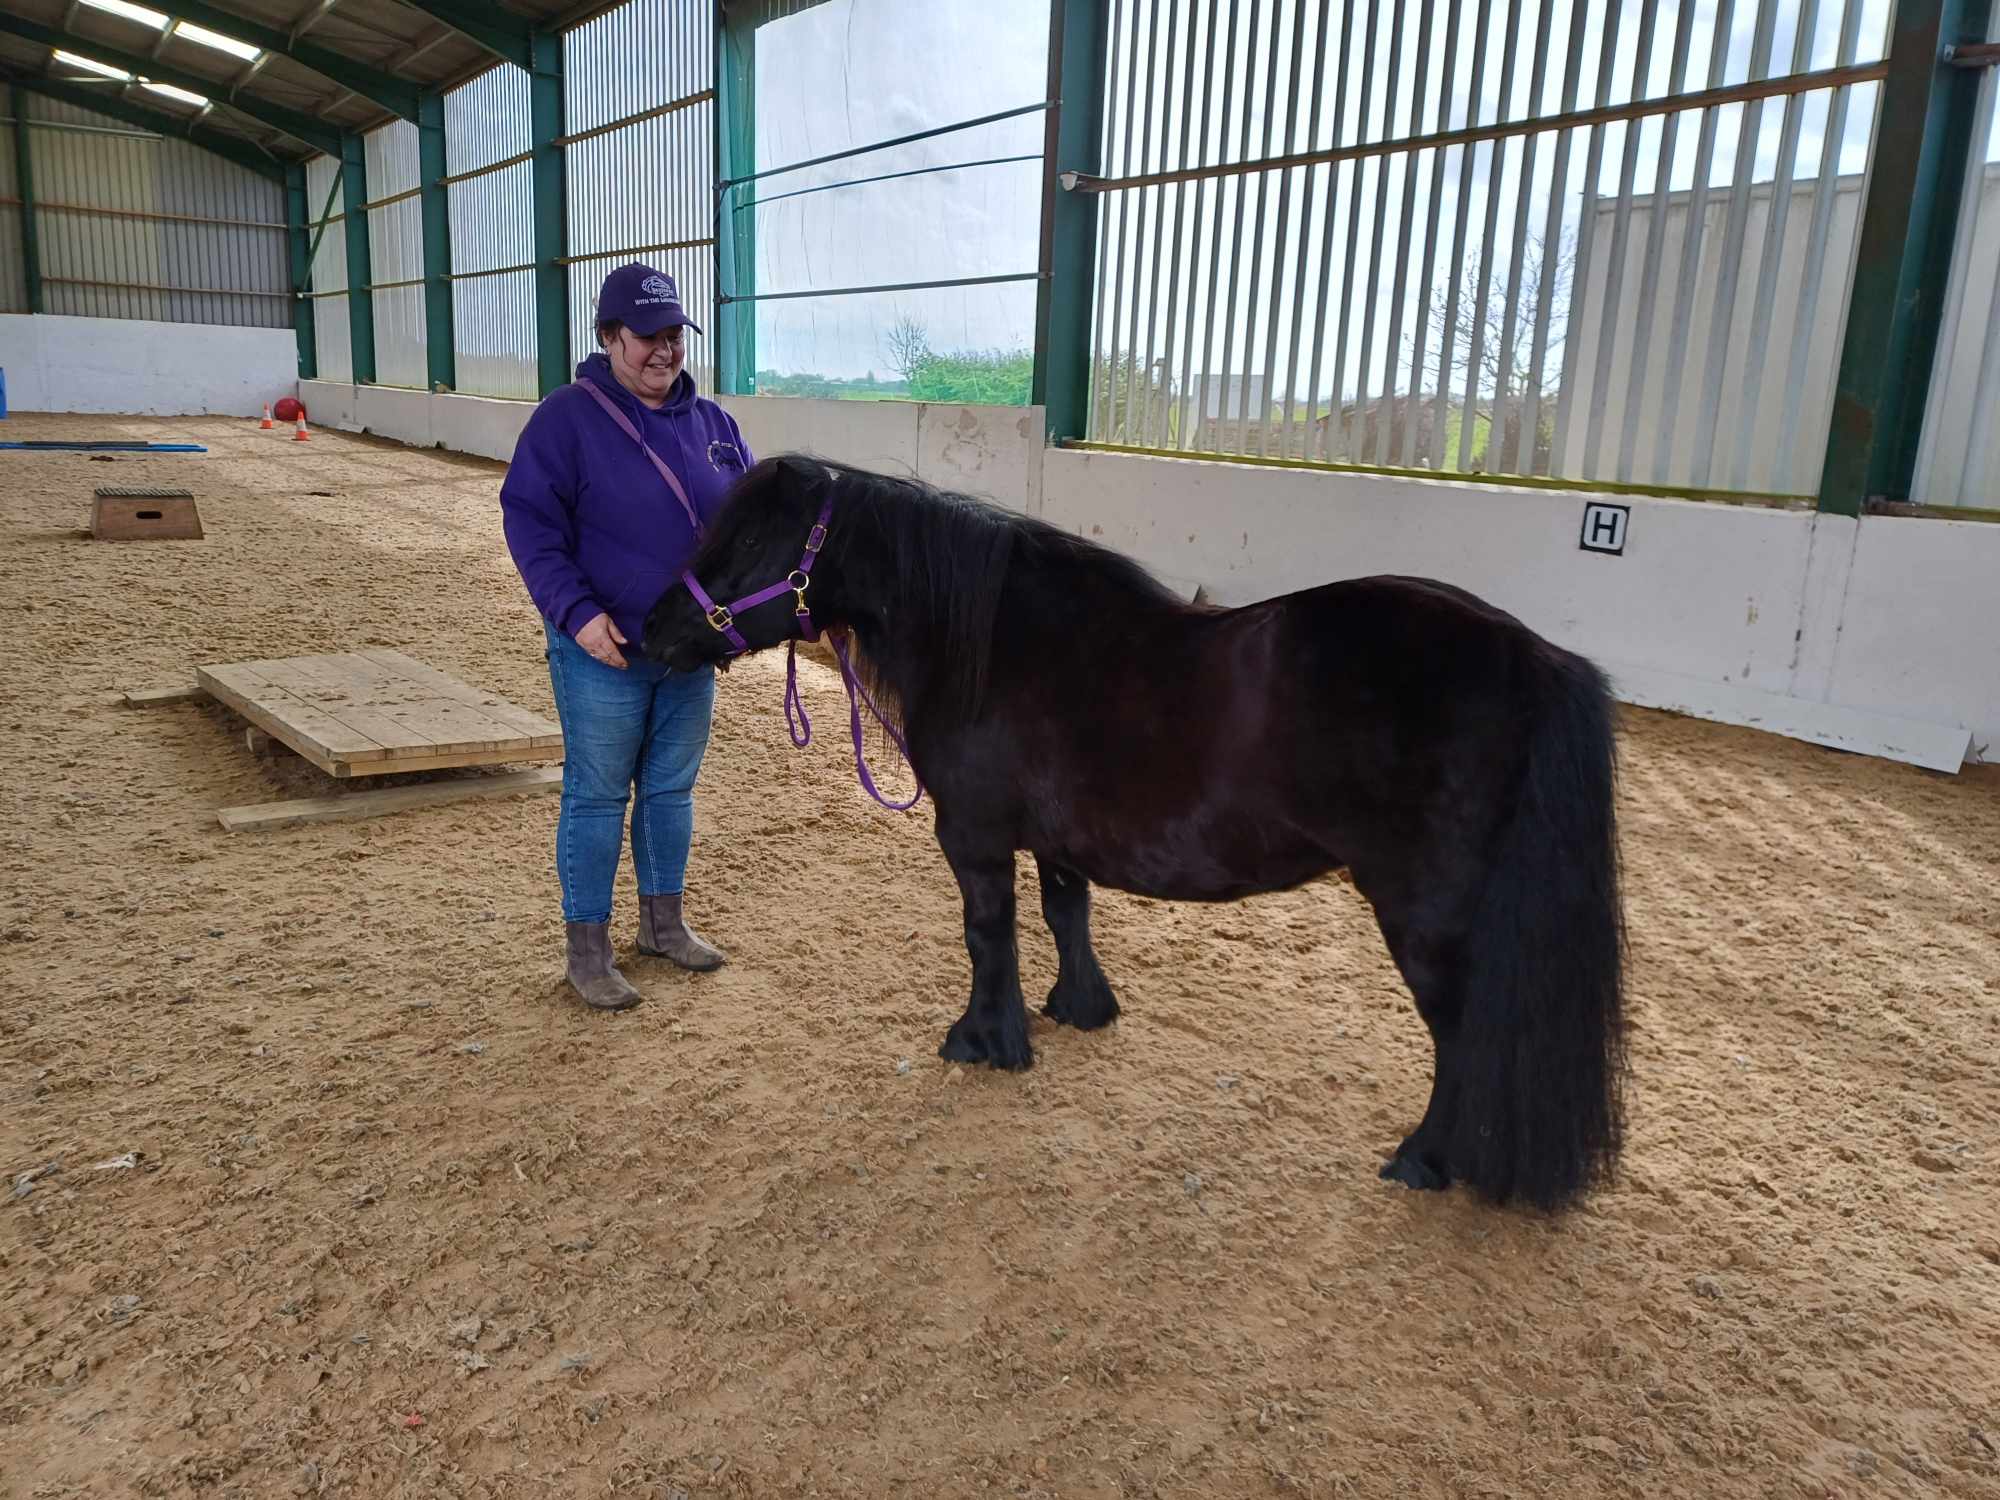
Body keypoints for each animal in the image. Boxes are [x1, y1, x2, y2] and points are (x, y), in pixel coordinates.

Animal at [648, 456, 1632, 1208]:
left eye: (749, 544)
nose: (651, 630)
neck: (997, 643)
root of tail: (1533, 656)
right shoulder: (1053, 838)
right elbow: (1065, 915)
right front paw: (1076, 1010)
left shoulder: (974, 836)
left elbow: (988, 935)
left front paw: (985, 1039)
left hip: (1426, 911)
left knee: (1458, 1030)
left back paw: (1425, 1159)